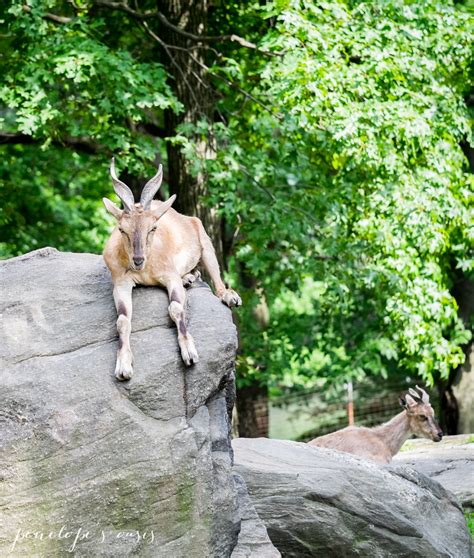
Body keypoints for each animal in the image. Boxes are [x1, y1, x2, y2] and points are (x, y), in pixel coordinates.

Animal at [103, 160, 241, 382]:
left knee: (217, 281)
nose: (138, 260)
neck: (145, 270)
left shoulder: (170, 277)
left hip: (205, 242)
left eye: (153, 228)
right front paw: (123, 366)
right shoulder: (121, 283)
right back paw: (190, 278)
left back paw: (229, 296)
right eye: (122, 229)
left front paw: (189, 352)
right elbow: (122, 320)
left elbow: (175, 308)